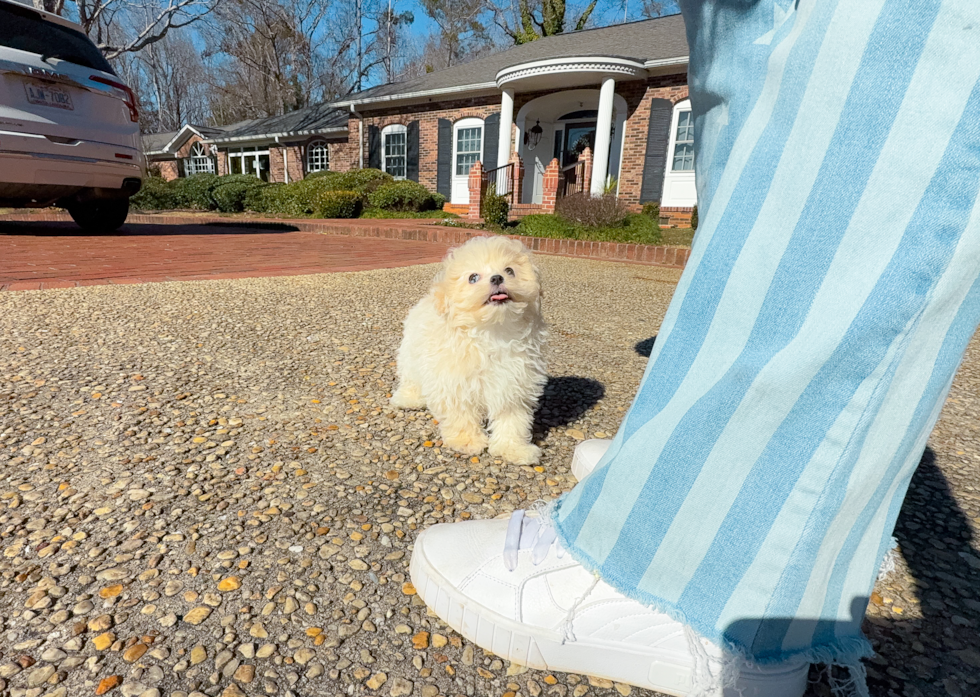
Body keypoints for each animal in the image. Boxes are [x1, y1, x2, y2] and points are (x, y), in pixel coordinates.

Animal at [390, 237, 548, 464]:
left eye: (509, 270)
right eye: (473, 277)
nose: (497, 277)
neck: (493, 331)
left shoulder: (514, 383)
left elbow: (512, 419)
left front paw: (514, 449)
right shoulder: (454, 383)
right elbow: (461, 414)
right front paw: (466, 441)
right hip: (410, 354)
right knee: (410, 378)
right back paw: (408, 398)